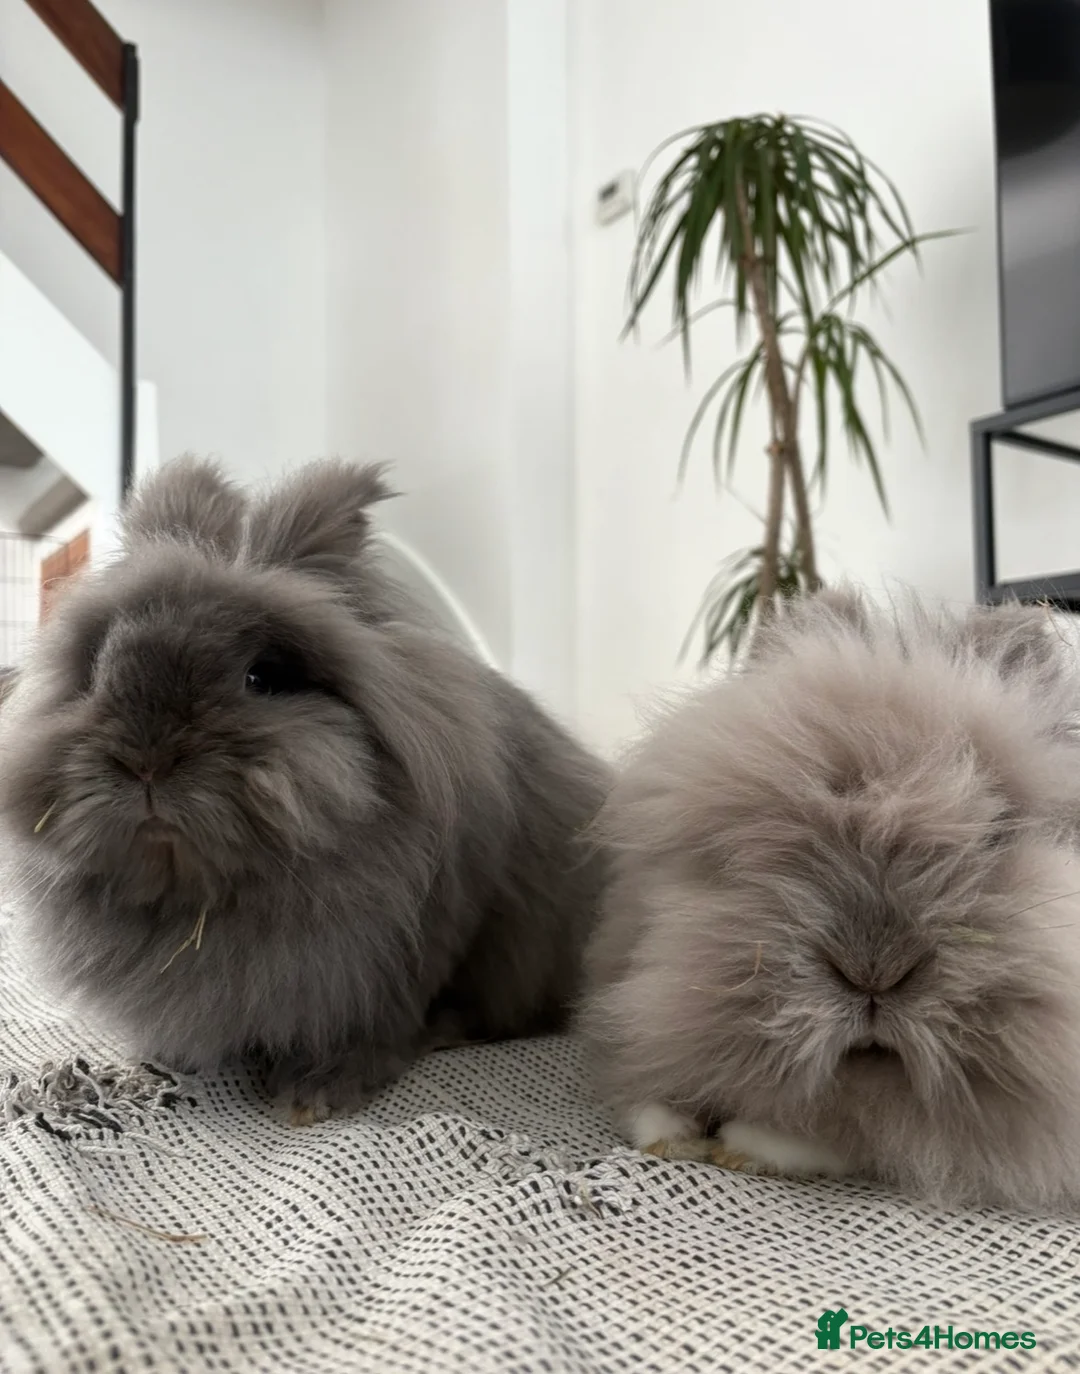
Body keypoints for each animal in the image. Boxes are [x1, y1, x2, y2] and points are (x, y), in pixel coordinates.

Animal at [0, 456, 610, 1123]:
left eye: (264, 677)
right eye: (93, 670)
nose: (146, 761)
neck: (207, 899)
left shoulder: (410, 951)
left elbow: (378, 1024)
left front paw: (316, 1096)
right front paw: (163, 1062)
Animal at [581, 588, 1080, 1209]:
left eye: (997, 834)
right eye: (781, 828)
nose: (873, 972)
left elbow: (863, 1126)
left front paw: (745, 1144)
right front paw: (670, 1134)